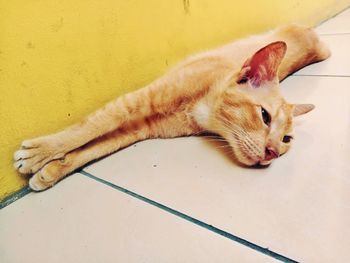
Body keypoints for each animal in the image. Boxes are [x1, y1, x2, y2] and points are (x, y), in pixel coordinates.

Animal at [14, 24, 330, 192]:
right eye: (264, 116)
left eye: (286, 139)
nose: (273, 153)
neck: (199, 108)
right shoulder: (136, 101)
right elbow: (90, 127)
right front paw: (40, 153)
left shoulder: (139, 129)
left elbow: (95, 147)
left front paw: (50, 170)